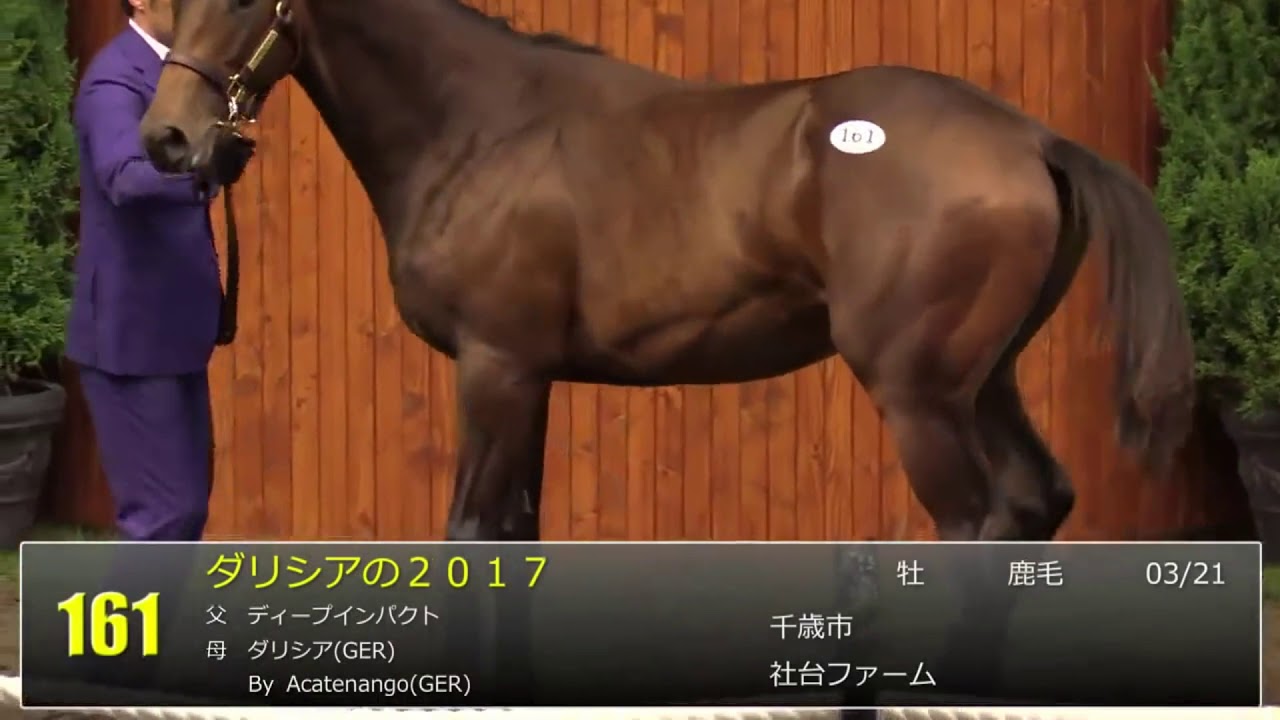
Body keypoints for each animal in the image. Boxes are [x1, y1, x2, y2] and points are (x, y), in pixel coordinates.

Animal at [139, 0, 1195, 548]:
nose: (169, 139)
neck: (482, 126)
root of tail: (1030, 139)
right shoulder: (530, 378)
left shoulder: (495, 368)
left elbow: (473, 536)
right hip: (986, 381)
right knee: (1034, 502)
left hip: (921, 397)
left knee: (976, 524)